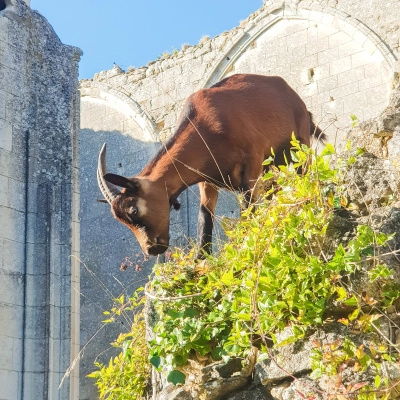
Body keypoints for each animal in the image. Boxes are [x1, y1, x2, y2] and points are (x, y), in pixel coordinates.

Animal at [97, 73, 322, 256]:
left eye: (134, 211)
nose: (151, 249)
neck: (204, 124)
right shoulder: (207, 180)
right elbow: (205, 218)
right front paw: (200, 260)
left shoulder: (253, 159)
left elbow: (247, 205)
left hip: (299, 144)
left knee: (304, 173)